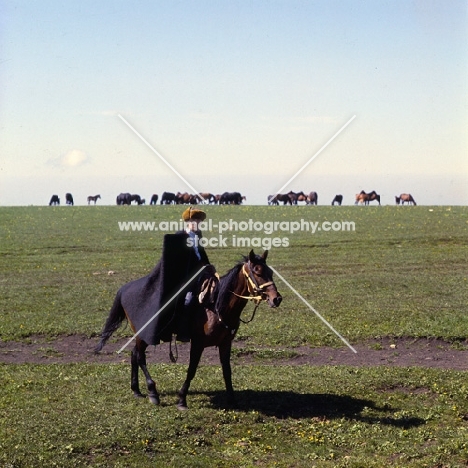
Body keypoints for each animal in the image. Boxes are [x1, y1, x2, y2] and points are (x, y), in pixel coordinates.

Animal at [95, 250, 282, 408]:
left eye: (270, 272)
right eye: (257, 271)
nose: (276, 299)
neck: (215, 306)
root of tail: (125, 288)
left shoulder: (225, 343)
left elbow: (227, 371)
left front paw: (232, 400)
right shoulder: (198, 343)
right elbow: (192, 369)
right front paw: (182, 399)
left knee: (134, 355)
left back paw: (137, 391)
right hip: (143, 334)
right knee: (140, 357)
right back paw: (153, 393)